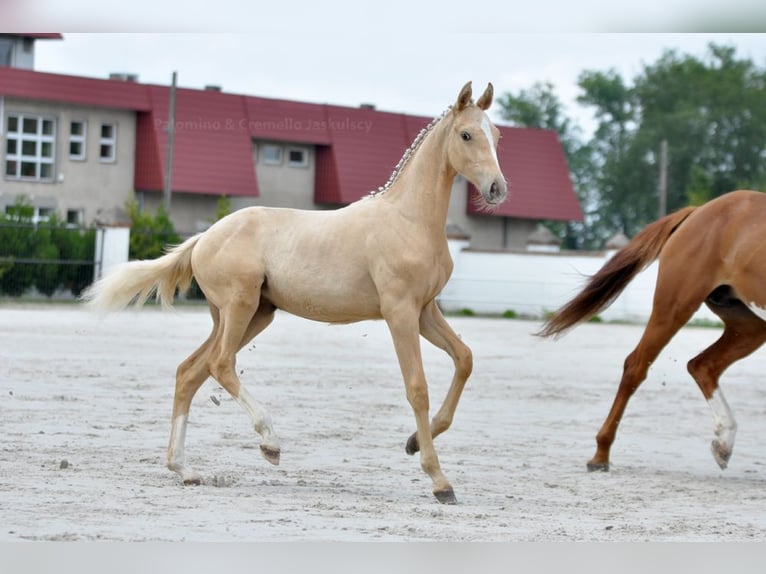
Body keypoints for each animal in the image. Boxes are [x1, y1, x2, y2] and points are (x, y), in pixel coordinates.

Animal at [82, 81, 508, 504]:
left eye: (497, 135)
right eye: (466, 134)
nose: (497, 189)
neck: (408, 220)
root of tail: (205, 237)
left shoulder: (425, 311)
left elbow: (465, 359)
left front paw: (412, 443)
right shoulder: (399, 312)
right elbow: (417, 388)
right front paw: (439, 480)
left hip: (253, 315)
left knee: (190, 371)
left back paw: (184, 469)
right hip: (240, 307)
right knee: (220, 364)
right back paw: (269, 441)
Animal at [539, 189, 766, 473]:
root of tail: (698, 211)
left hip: (750, 325)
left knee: (704, 365)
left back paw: (723, 445)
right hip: (674, 305)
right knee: (636, 366)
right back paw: (600, 455)